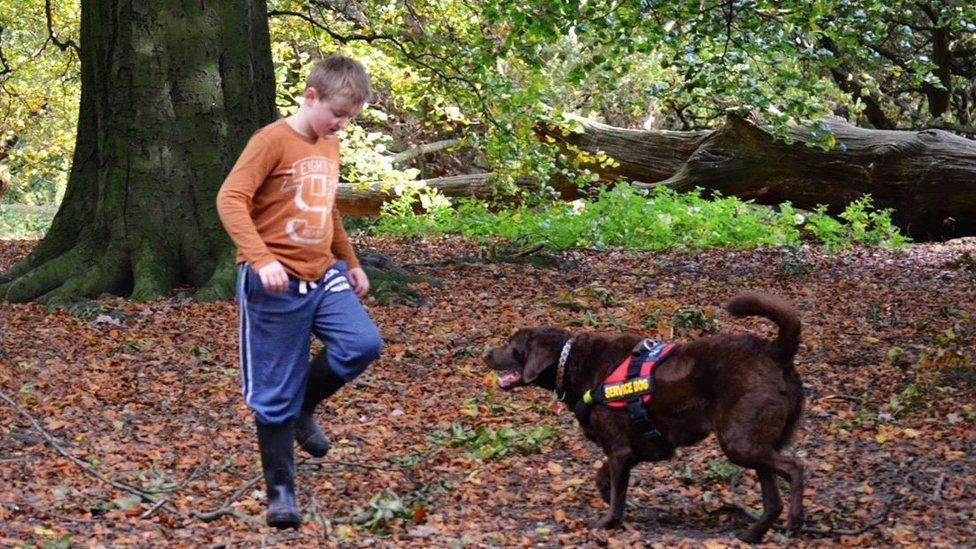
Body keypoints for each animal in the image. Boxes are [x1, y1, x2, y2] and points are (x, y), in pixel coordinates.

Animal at [484, 294, 804, 540]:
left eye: (512, 343)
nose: (486, 353)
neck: (573, 361)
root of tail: (775, 351)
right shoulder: (633, 450)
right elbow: (605, 480)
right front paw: (614, 503)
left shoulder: (619, 449)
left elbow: (614, 491)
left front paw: (607, 522)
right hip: (752, 443)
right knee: (773, 500)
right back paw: (752, 534)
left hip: (739, 441)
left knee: (795, 467)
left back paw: (794, 521)